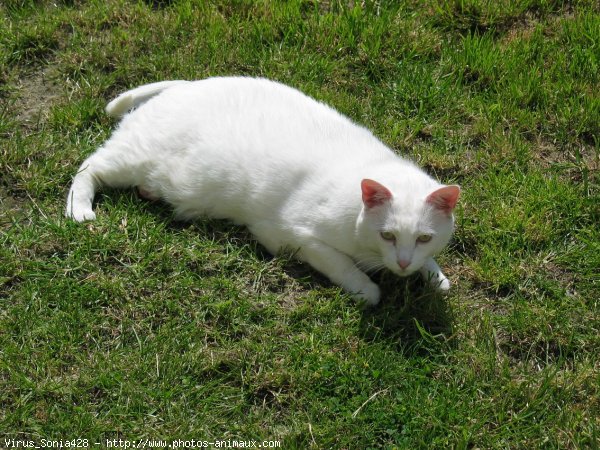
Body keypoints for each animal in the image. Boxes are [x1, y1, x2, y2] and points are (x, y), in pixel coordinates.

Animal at [65, 77, 460, 304]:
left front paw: (435, 277)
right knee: (89, 167)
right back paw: (78, 210)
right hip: (131, 158)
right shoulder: (296, 237)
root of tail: (187, 84)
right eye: (387, 235)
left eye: (424, 238)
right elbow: (345, 268)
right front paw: (369, 290)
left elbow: (433, 269)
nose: (404, 263)